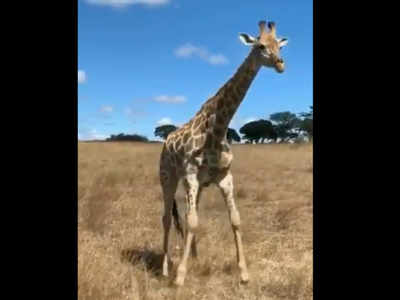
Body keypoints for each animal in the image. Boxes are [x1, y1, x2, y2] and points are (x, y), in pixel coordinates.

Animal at [159, 19, 288, 284]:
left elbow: (234, 220)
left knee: (187, 214)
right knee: (167, 217)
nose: (281, 64)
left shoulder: (224, 177)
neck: (217, 130)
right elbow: (192, 221)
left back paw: (195, 257)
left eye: (279, 45)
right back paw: (165, 268)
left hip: (196, 186)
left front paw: (244, 273)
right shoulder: (190, 175)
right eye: (260, 46)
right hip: (167, 177)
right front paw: (180, 277)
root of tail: (166, 141)